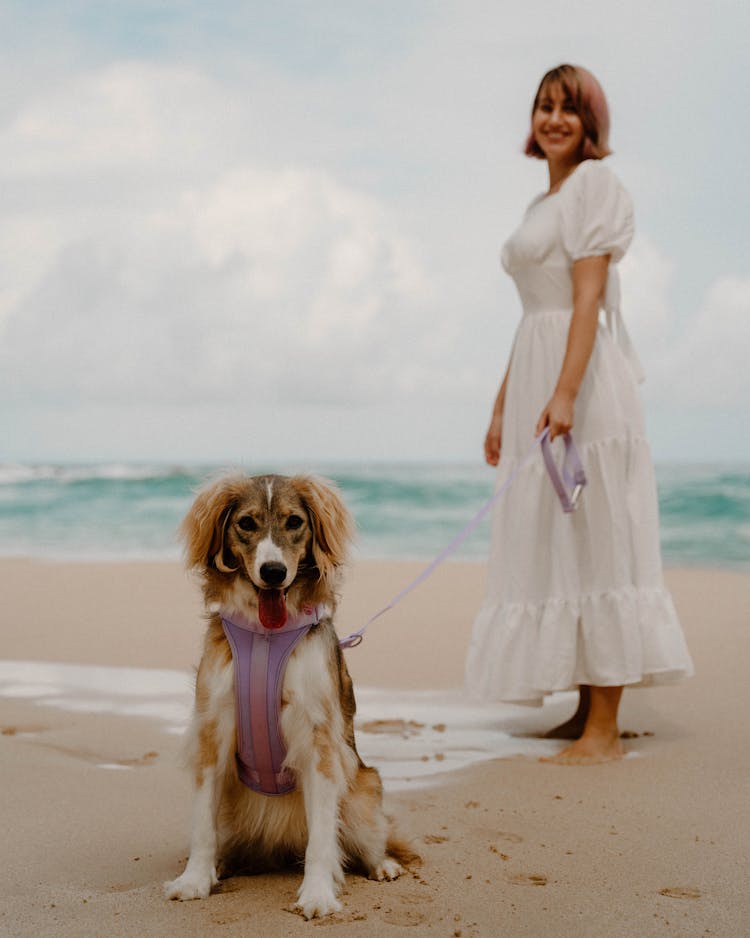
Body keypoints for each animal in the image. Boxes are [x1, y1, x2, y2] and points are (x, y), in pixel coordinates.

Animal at [165, 472, 414, 916]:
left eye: (295, 521)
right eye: (246, 523)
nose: (273, 571)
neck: (265, 638)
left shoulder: (318, 738)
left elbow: (322, 839)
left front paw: (317, 893)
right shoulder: (213, 728)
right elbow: (202, 825)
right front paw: (194, 880)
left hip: (362, 793)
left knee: (364, 840)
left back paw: (383, 865)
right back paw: (220, 866)